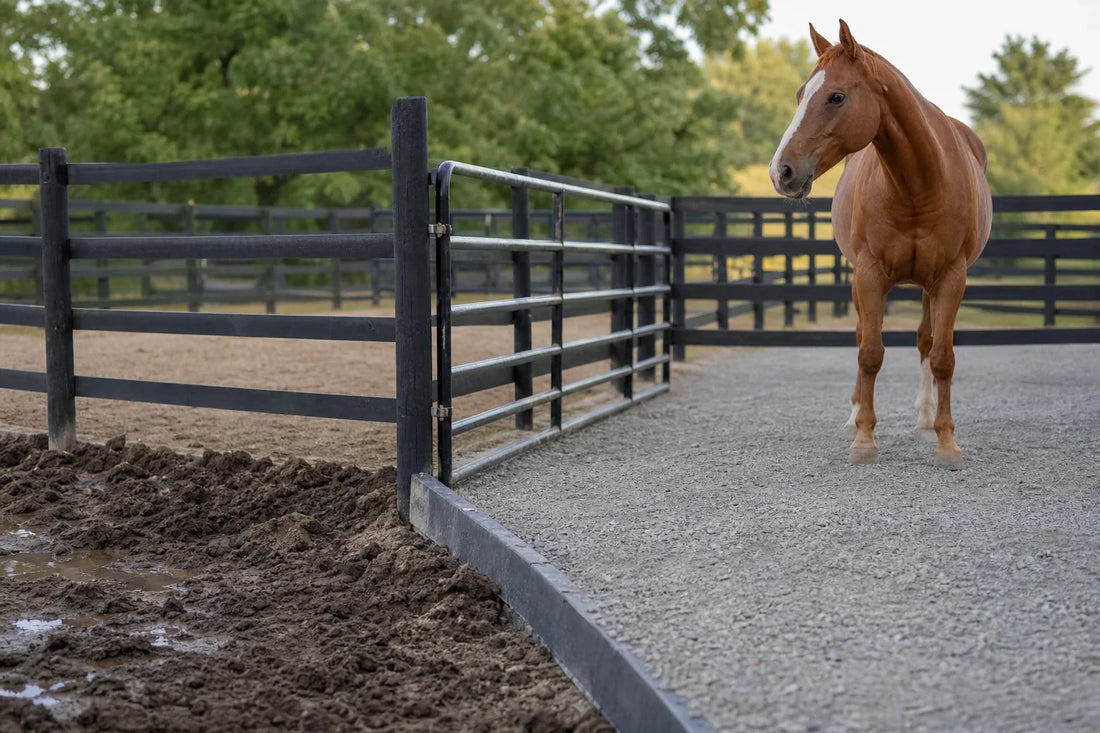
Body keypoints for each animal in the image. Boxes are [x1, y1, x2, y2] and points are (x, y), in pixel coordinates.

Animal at [769, 20, 992, 469]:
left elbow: (942, 356)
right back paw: (855, 416)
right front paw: (864, 438)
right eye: (801, 94)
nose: (780, 171)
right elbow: (869, 352)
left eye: (836, 96)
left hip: (928, 287)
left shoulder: (950, 279)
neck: (918, 186)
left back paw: (924, 420)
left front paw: (946, 443)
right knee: (861, 338)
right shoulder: (869, 275)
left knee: (925, 341)